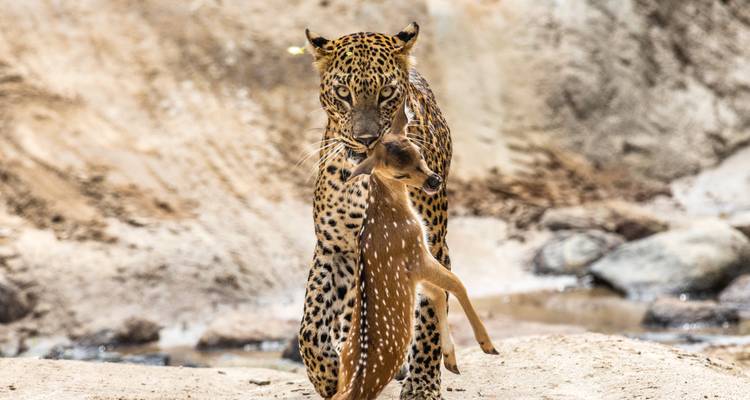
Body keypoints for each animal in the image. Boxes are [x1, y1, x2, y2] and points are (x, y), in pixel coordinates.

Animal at [299, 22, 453, 400]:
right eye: (343, 92)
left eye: (386, 93)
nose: (366, 139)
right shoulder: (335, 248)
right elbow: (311, 322)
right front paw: (327, 375)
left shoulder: (430, 247)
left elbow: (430, 318)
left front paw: (422, 386)